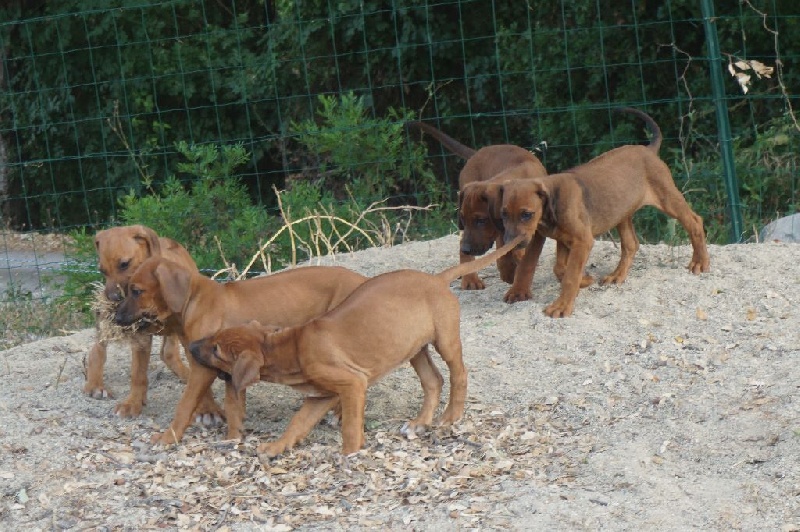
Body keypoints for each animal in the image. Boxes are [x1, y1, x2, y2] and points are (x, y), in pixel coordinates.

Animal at [113, 260, 368, 442]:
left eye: (136, 291)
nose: (115, 318)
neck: (194, 300)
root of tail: (364, 279)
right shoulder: (230, 368)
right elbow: (233, 405)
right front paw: (234, 438)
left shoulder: (204, 368)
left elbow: (185, 406)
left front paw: (168, 437)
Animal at [188, 235, 524, 460]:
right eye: (213, 340)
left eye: (216, 350)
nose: (191, 346)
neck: (289, 348)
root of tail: (436, 279)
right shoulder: (320, 396)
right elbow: (298, 423)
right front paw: (276, 447)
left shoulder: (352, 384)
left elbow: (349, 425)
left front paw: (350, 454)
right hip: (413, 347)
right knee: (433, 380)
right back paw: (419, 423)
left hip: (445, 339)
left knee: (458, 375)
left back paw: (451, 416)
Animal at [410, 120, 548, 288]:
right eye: (463, 219)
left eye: (481, 221)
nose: (466, 249)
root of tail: (476, 153)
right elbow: (505, 251)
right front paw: (509, 271)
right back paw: (470, 279)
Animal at [496, 107, 708, 316]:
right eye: (504, 214)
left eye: (527, 214)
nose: (509, 243)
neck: (551, 207)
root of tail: (647, 150)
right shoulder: (564, 240)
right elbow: (560, 269)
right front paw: (584, 281)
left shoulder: (582, 241)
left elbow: (569, 275)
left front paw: (562, 306)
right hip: (622, 212)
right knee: (631, 244)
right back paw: (617, 275)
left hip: (667, 199)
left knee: (695, 222)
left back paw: (700, 263)